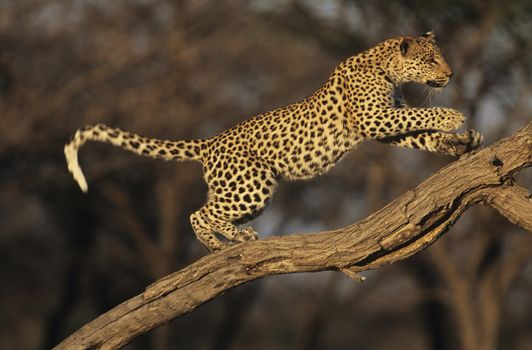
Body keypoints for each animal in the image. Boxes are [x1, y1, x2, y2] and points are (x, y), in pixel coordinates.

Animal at [65, 31, 482, 252]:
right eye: (430, 60)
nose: (451, 73)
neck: (386, 69)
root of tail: (210, 142)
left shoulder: (385, 125)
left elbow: (421, 134)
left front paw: (460, 143)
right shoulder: (375, 118)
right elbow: (421, 116)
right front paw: (453, 117)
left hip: (247, 189)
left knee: (210, 211)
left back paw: (232, 239)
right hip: (251, 185)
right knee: (200, 212)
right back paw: (222, 243)